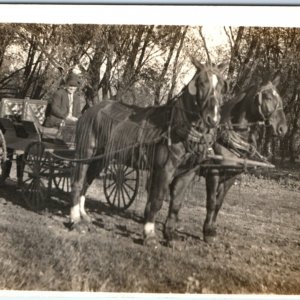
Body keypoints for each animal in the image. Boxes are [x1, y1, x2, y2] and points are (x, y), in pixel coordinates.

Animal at [68, 59, 227, 246]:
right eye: (201, 83)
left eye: (222, 85)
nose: (213, 119)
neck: (177, 126)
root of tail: (91, 110)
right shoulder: (165, 170)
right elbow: (157, 200)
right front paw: (149, 233)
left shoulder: (188, 173)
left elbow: (176, 204)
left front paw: (170, 234)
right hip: (85, 152)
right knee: (78, 182)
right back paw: (75, 219)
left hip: (101, 159)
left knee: (87, 182)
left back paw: (83, 215)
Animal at [162, 74, 288, 244]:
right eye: (268, 97)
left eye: (280, 98)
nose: (282, 128)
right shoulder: (213, 173)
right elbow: (211, 202)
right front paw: (207, 232)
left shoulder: (231, 176)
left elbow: (219, 203)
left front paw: (212, 229)